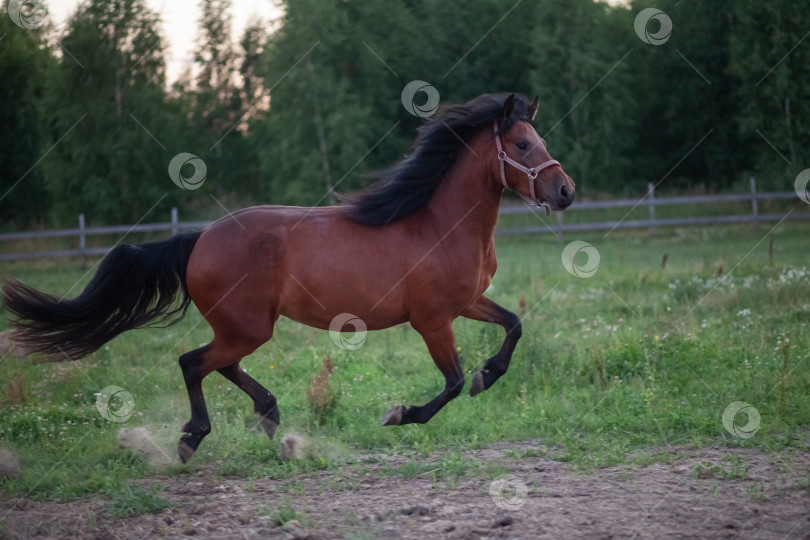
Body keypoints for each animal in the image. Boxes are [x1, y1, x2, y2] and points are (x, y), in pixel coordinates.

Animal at [6, 92, 576, 460]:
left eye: (537, 139)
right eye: (522, 145)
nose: (566, 191)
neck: (438, 224)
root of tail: (200, 238)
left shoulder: (467, 303)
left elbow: (512, 327)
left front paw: (489, 375)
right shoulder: (433, 320)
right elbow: (452, 383)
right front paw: (399, 414)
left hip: (244, 327)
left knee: (218, 365)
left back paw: (269, 415)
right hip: (248, 326)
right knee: (194, 363)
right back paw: (194, 438)